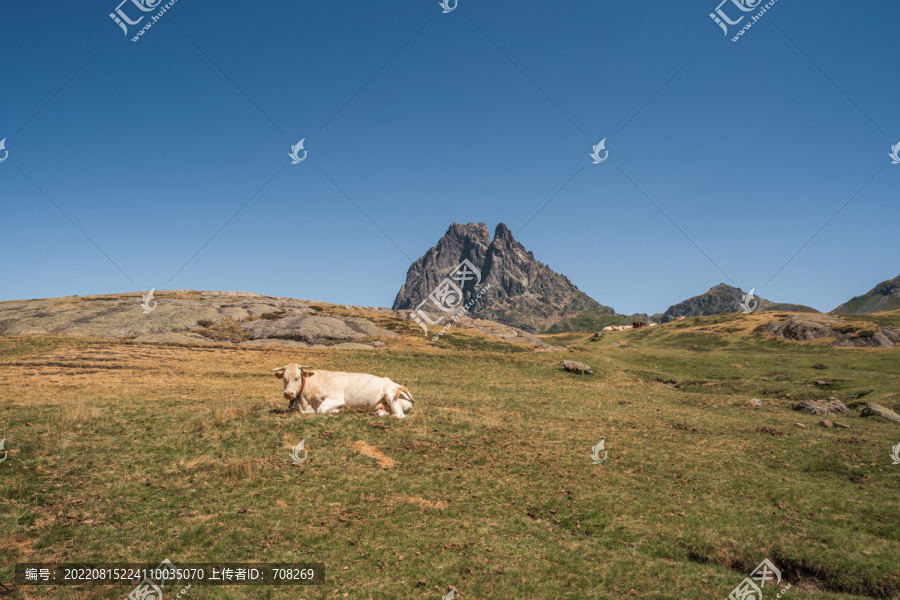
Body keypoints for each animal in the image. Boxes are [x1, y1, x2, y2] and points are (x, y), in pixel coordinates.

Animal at [272, 364, 416, 420]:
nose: (288, 394)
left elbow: (321, 410)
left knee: (399, 415)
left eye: (297, 378)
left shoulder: (336, 399)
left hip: (391, 395)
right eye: (284, 379)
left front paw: (338, 410)